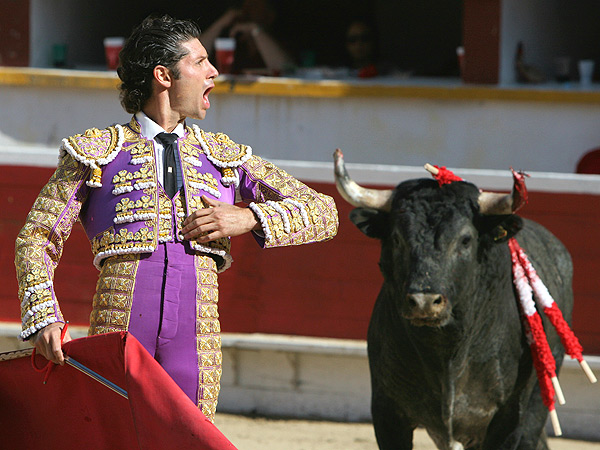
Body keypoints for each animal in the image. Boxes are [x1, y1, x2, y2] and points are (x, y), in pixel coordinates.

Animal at [336, 151, 576, 450]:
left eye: (465, 239)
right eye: (397, 238)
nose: (424, 301)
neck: (446, 349)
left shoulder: (509, 418)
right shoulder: (386, 411)